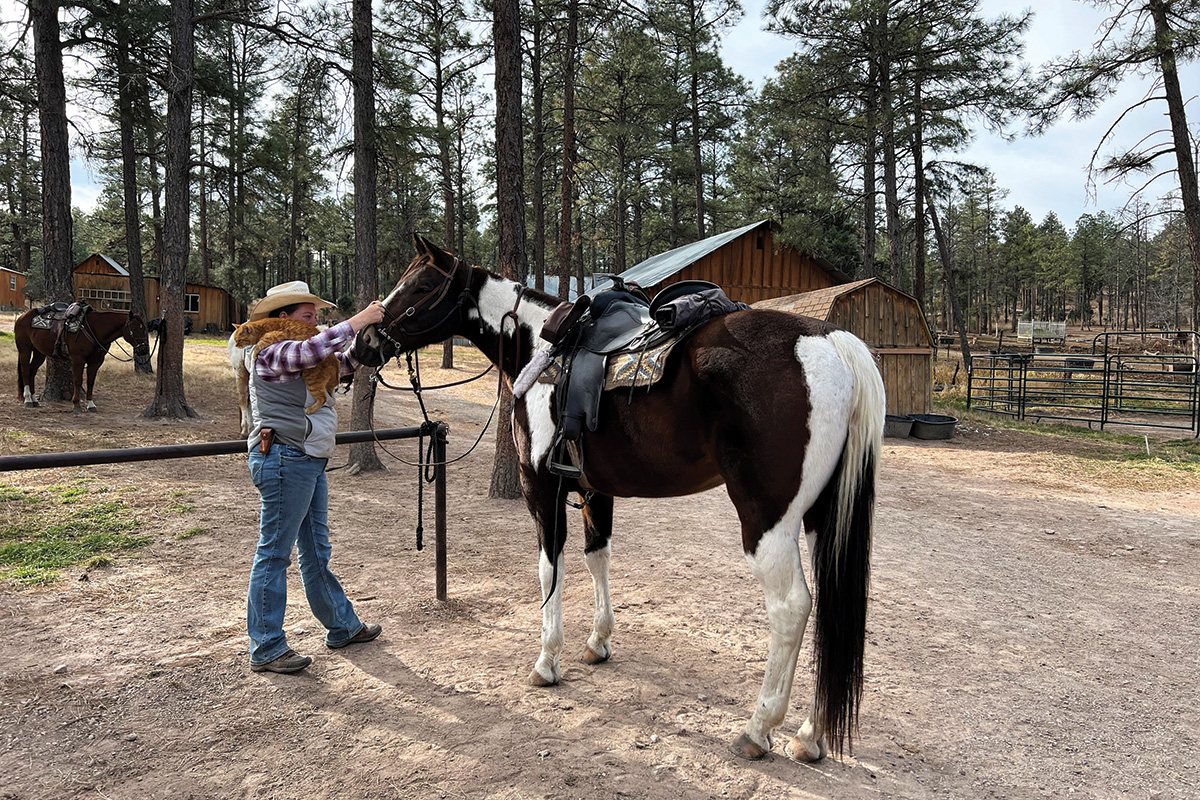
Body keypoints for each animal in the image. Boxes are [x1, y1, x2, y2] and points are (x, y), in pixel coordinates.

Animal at [15, 309, 148, 412]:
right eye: (134, 328)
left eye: (144, 328)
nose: (144, 350)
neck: (94, 329)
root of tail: (22, 316)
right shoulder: (78, 360)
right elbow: (78, 381)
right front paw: (76, 404)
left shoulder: (95, 362)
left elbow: (90, 382)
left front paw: (91, 405)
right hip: (25, 350)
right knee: (25, 371)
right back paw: (28, 399)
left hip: (39, 353)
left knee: (32, 372)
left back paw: (34, 400)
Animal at [350, 237, 888, 762]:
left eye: (420, 286)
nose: (362, 341)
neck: (538, 347)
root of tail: (831, 342)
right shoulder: (595, 490)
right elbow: (597, 558)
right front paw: (598, 642)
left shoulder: (540, 489)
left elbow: (550, 569)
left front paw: (547, 661)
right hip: (822, 516)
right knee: (827, 613)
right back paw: (811, 734)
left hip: (767, 520)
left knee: (791, 608)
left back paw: (758, 729)